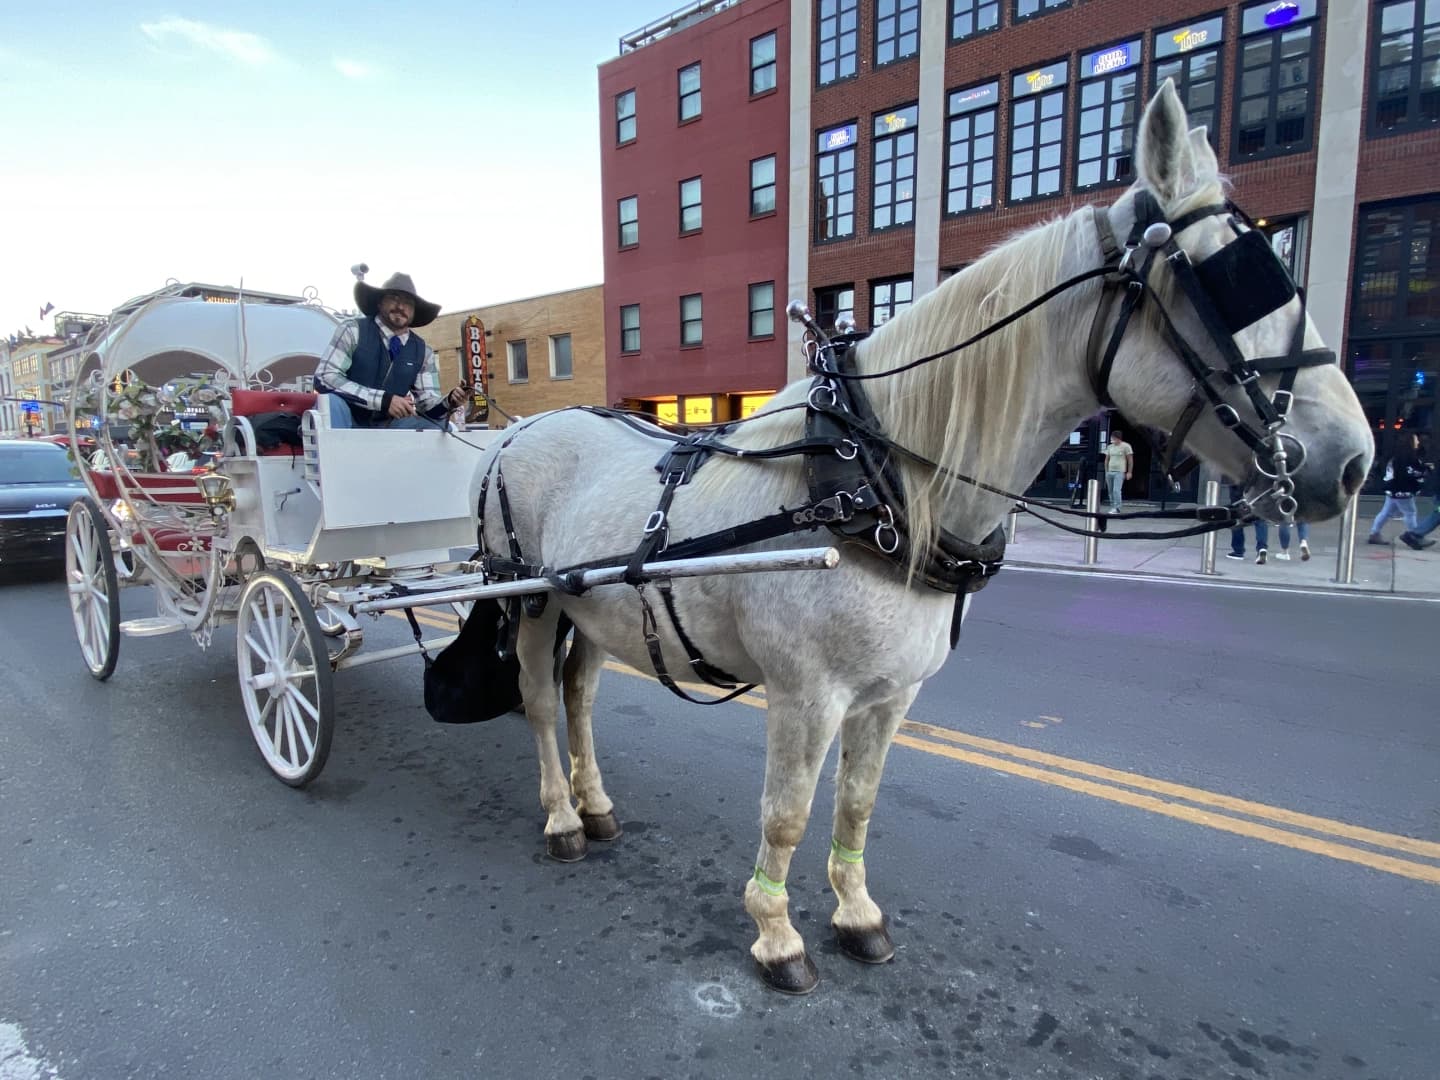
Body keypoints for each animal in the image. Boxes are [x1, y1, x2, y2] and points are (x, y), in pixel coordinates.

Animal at [463, 84, 1370, 996]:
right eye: (1237, 279)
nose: (1355, 462)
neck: (870, 477)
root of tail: (515, 433)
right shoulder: (804, 695)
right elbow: (786, 814)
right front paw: (776, 935)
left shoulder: (892, 692)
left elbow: (858, 803)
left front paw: (857, 914)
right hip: (532, 598)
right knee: (539, 701)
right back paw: (560, 817)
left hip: (592, 608)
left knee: (580, 697)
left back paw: (596, 806)